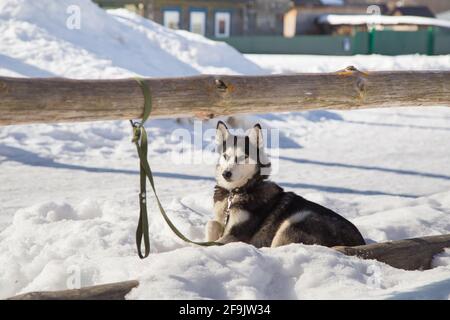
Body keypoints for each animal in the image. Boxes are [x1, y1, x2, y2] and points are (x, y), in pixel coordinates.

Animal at [205, 121, 366, 249]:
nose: (226, 173)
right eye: (225, 156)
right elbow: (211, 223)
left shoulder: (237, 235)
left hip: (295, 220)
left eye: (243, 157)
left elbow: (214, 241)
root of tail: (359, 243)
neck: (237, 192)